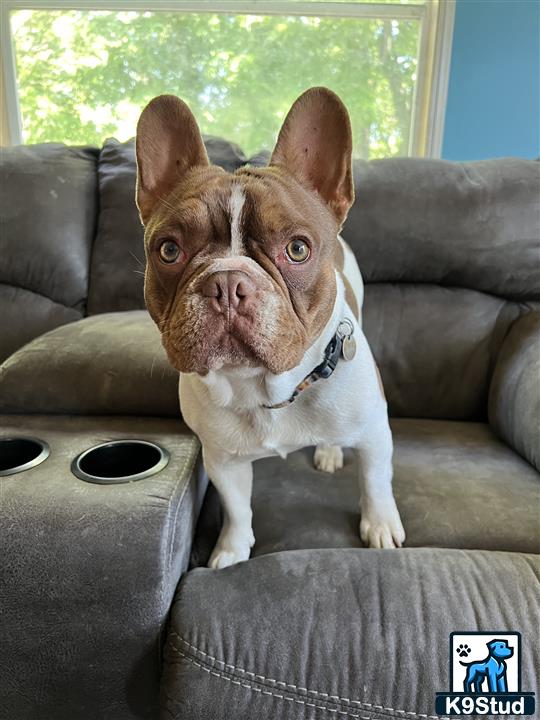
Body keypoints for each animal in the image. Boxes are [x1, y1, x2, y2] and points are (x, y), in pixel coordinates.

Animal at [135, 86, 404, 568]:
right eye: (168, 250)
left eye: (297, 249)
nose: (226, 283)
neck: (265, 388)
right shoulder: (222, 459)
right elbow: (237, 508)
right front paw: (231, 550)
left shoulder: (375, 434)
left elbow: (376, 483)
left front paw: (380, 528)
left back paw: (329, 452)